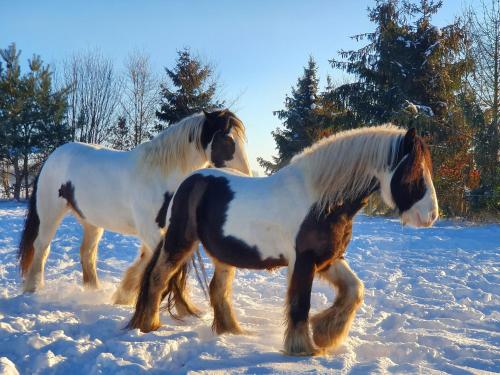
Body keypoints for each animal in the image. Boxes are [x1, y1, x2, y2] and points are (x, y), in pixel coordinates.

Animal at [17, 108, 252, 308]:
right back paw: (33, 288)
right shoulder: (151, 231)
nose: (246, 177)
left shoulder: (159, 233)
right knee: (42, 246)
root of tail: (53, 155)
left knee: (87, 253)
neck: (160, 175)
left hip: (92, 221)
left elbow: (145, 262)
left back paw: (94, 291)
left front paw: (123, 296)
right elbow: (165, 267)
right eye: (226, 138)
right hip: (50, 212)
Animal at [128, 125, 438, 356]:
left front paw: (325, 333)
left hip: (224, 253)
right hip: (179, 242)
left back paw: (232, 331)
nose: (431, 216)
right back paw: (149, 325)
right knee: (157, 278)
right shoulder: (303, 261)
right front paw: (304, 348)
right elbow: (300, 304)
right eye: (413, 171)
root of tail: (189, 181)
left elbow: (354, 290)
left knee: (218, 289)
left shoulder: (328, 258)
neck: (322, 201)